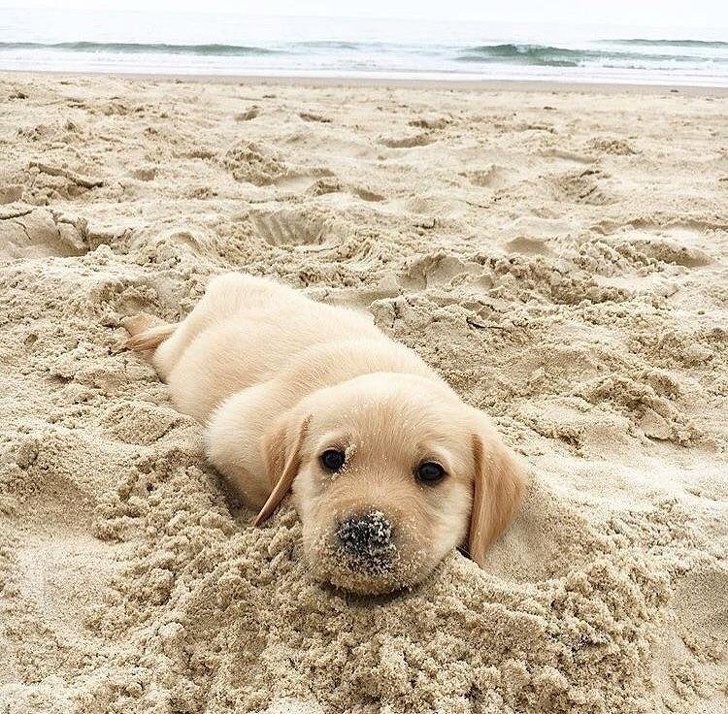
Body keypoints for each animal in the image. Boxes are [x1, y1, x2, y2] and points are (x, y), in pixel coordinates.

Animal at [123, 270, 524, 592]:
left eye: (431, 471)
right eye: (331, 459)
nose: (364, 530)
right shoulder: (230, 433)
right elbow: (260, 492)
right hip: (175, 357)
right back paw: (137, 323)